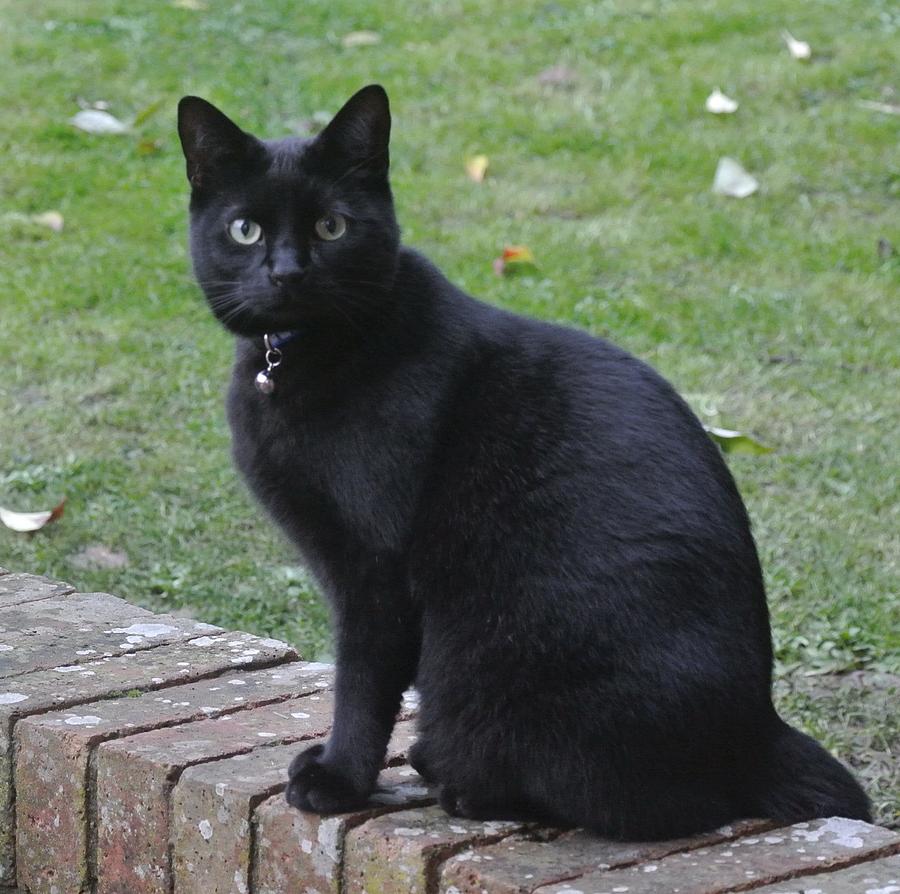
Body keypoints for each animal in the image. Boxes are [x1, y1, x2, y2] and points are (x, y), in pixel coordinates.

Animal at [178, 84, 872, 840]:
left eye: (332, 227)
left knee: (636, 803)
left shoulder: (374, 568)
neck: (291, 360)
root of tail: (759, 732)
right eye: (245, 230)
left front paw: (339, 779)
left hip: (496, 671)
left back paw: (463, 785)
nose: (288, 272)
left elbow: (361, 682)